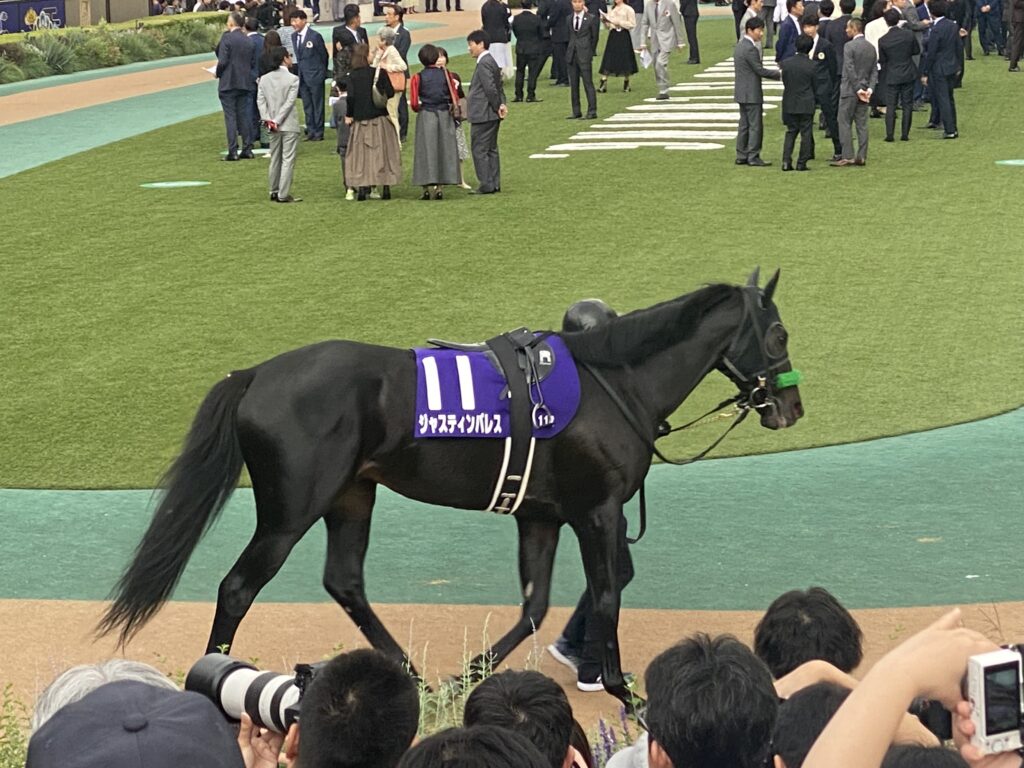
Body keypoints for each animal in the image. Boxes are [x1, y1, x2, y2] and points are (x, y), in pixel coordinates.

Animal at [98, 269, 803, 705]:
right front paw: (625, 691)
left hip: (351, 497)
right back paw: (215, 674)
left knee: (344, 581)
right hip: (288, 512)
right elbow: (605, 595)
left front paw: (469, 678)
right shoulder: (597, 512)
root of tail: (255, 373)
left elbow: (535, 604)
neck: (612, 383)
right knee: (239, 588)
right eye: (779, 334)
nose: (790, 408)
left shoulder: (541, 515)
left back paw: (410, 676)